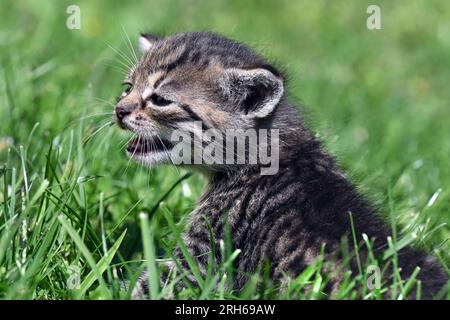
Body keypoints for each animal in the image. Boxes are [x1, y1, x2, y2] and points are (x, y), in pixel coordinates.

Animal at [115, 31, 446, 298]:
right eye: (127, 86)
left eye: (159, 100)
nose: (119, 110)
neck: (257, 161)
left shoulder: (205, 255)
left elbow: (146, 286)